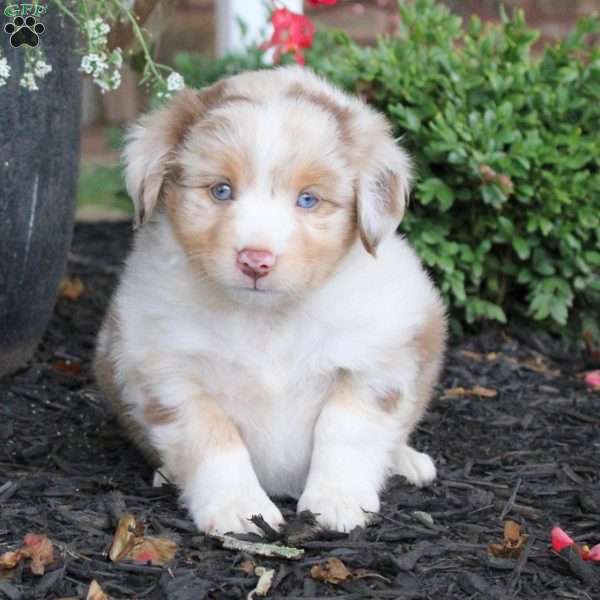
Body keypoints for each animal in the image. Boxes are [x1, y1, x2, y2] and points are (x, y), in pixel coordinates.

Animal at [95, 65, 446, 536]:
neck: (267, 319)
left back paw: (406, 461)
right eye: (221, 191)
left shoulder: (377, 362)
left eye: (308, 199)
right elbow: (214, 439)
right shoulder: (169, 374)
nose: (255, 260)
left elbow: (344, 429)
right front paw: (240, 508)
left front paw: (337, 501)